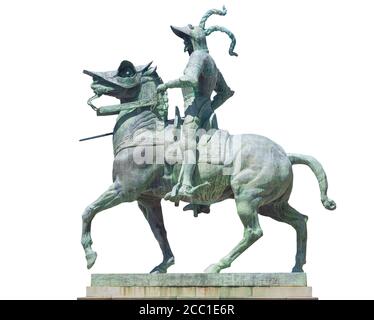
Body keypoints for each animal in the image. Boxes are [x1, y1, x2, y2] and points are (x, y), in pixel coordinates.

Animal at [79, 60, 336, 272]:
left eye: (126, 71)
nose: (93, 80)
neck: (142, 135)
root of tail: (285, 155)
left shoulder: (123, 190)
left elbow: (88, 211)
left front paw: (90, 256)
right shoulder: (147, 200)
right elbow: (160, 231)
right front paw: (164, 265)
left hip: (248, 199)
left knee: (254, 232)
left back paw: (216, 266)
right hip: (272, 205)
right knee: (300, 221)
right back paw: (297, 268)